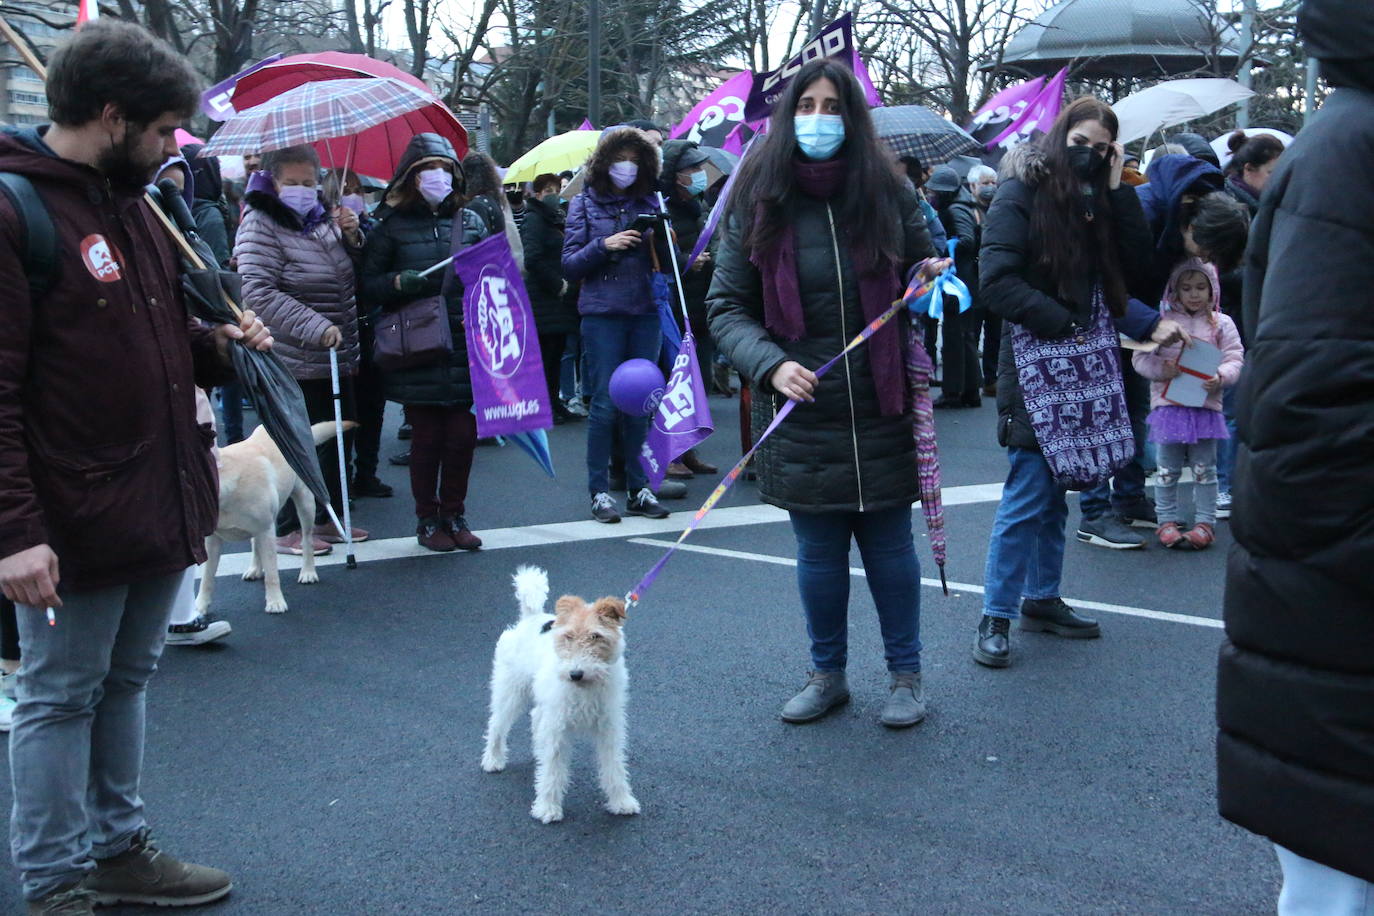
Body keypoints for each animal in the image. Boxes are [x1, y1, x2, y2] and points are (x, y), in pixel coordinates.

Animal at [196, 422, 354, 615]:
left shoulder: (267, 532)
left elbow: (272, 573)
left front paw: (275, 602)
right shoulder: (213, 540)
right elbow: (207, 577)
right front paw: (200, 606)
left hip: (306, 502)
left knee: (307, 539)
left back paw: (308, 572)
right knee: (254, 542)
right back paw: (255, 569)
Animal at [480, 565, 640, 823]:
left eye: (596, 636)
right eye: (568, 636)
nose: (575, 674)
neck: (586, 687)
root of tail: (530, 617)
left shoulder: (609, 727)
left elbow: (614, 766)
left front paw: (622, 802)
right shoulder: (558, 728)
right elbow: (553, 770)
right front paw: (547, 808)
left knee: (535, 718)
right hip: (511, 691)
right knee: (497, 724)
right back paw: (493, 760)